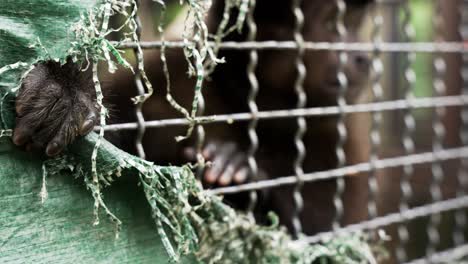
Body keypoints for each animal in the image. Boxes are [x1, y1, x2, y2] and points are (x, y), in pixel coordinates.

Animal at [11, 0, 372, 235]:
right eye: (337, 24)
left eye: (356, 24)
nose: (364, 57)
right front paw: (65, 89)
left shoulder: (338, 136)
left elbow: (321, 235)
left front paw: (239, 172)